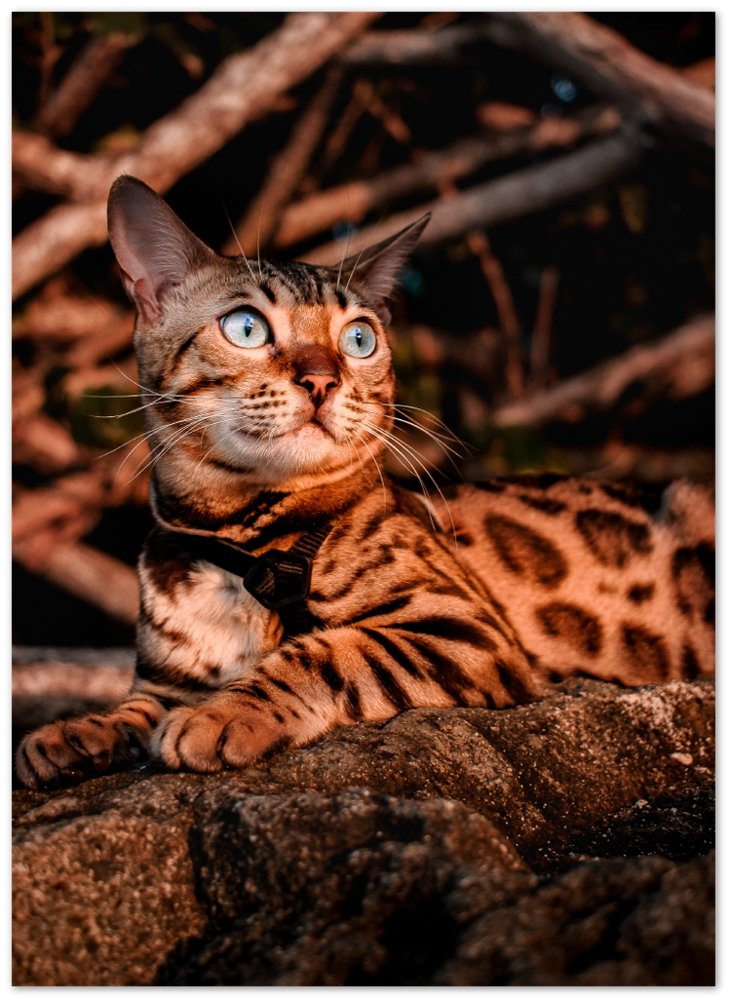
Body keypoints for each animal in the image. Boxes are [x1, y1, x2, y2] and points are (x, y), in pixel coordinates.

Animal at [15, 178, 712, 788]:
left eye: (358, 339)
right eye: (246, 328)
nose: (322, 379)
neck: (235, 543)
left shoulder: (463, 627)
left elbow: (326, 653)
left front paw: (221, 715)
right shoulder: (165, 679)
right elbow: (134, 709)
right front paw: (79, 730)